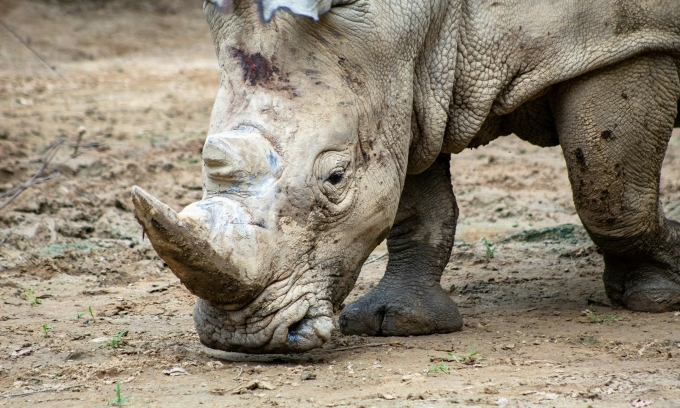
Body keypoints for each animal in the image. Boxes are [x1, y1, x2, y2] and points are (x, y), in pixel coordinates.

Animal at [131, 0, 680, 353]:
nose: (239, 337)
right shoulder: (401, 84)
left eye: (336, 177)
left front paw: (658, 293)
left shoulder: (623, 45)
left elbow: (608, 189)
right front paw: (398, 323)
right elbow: (417, 208)